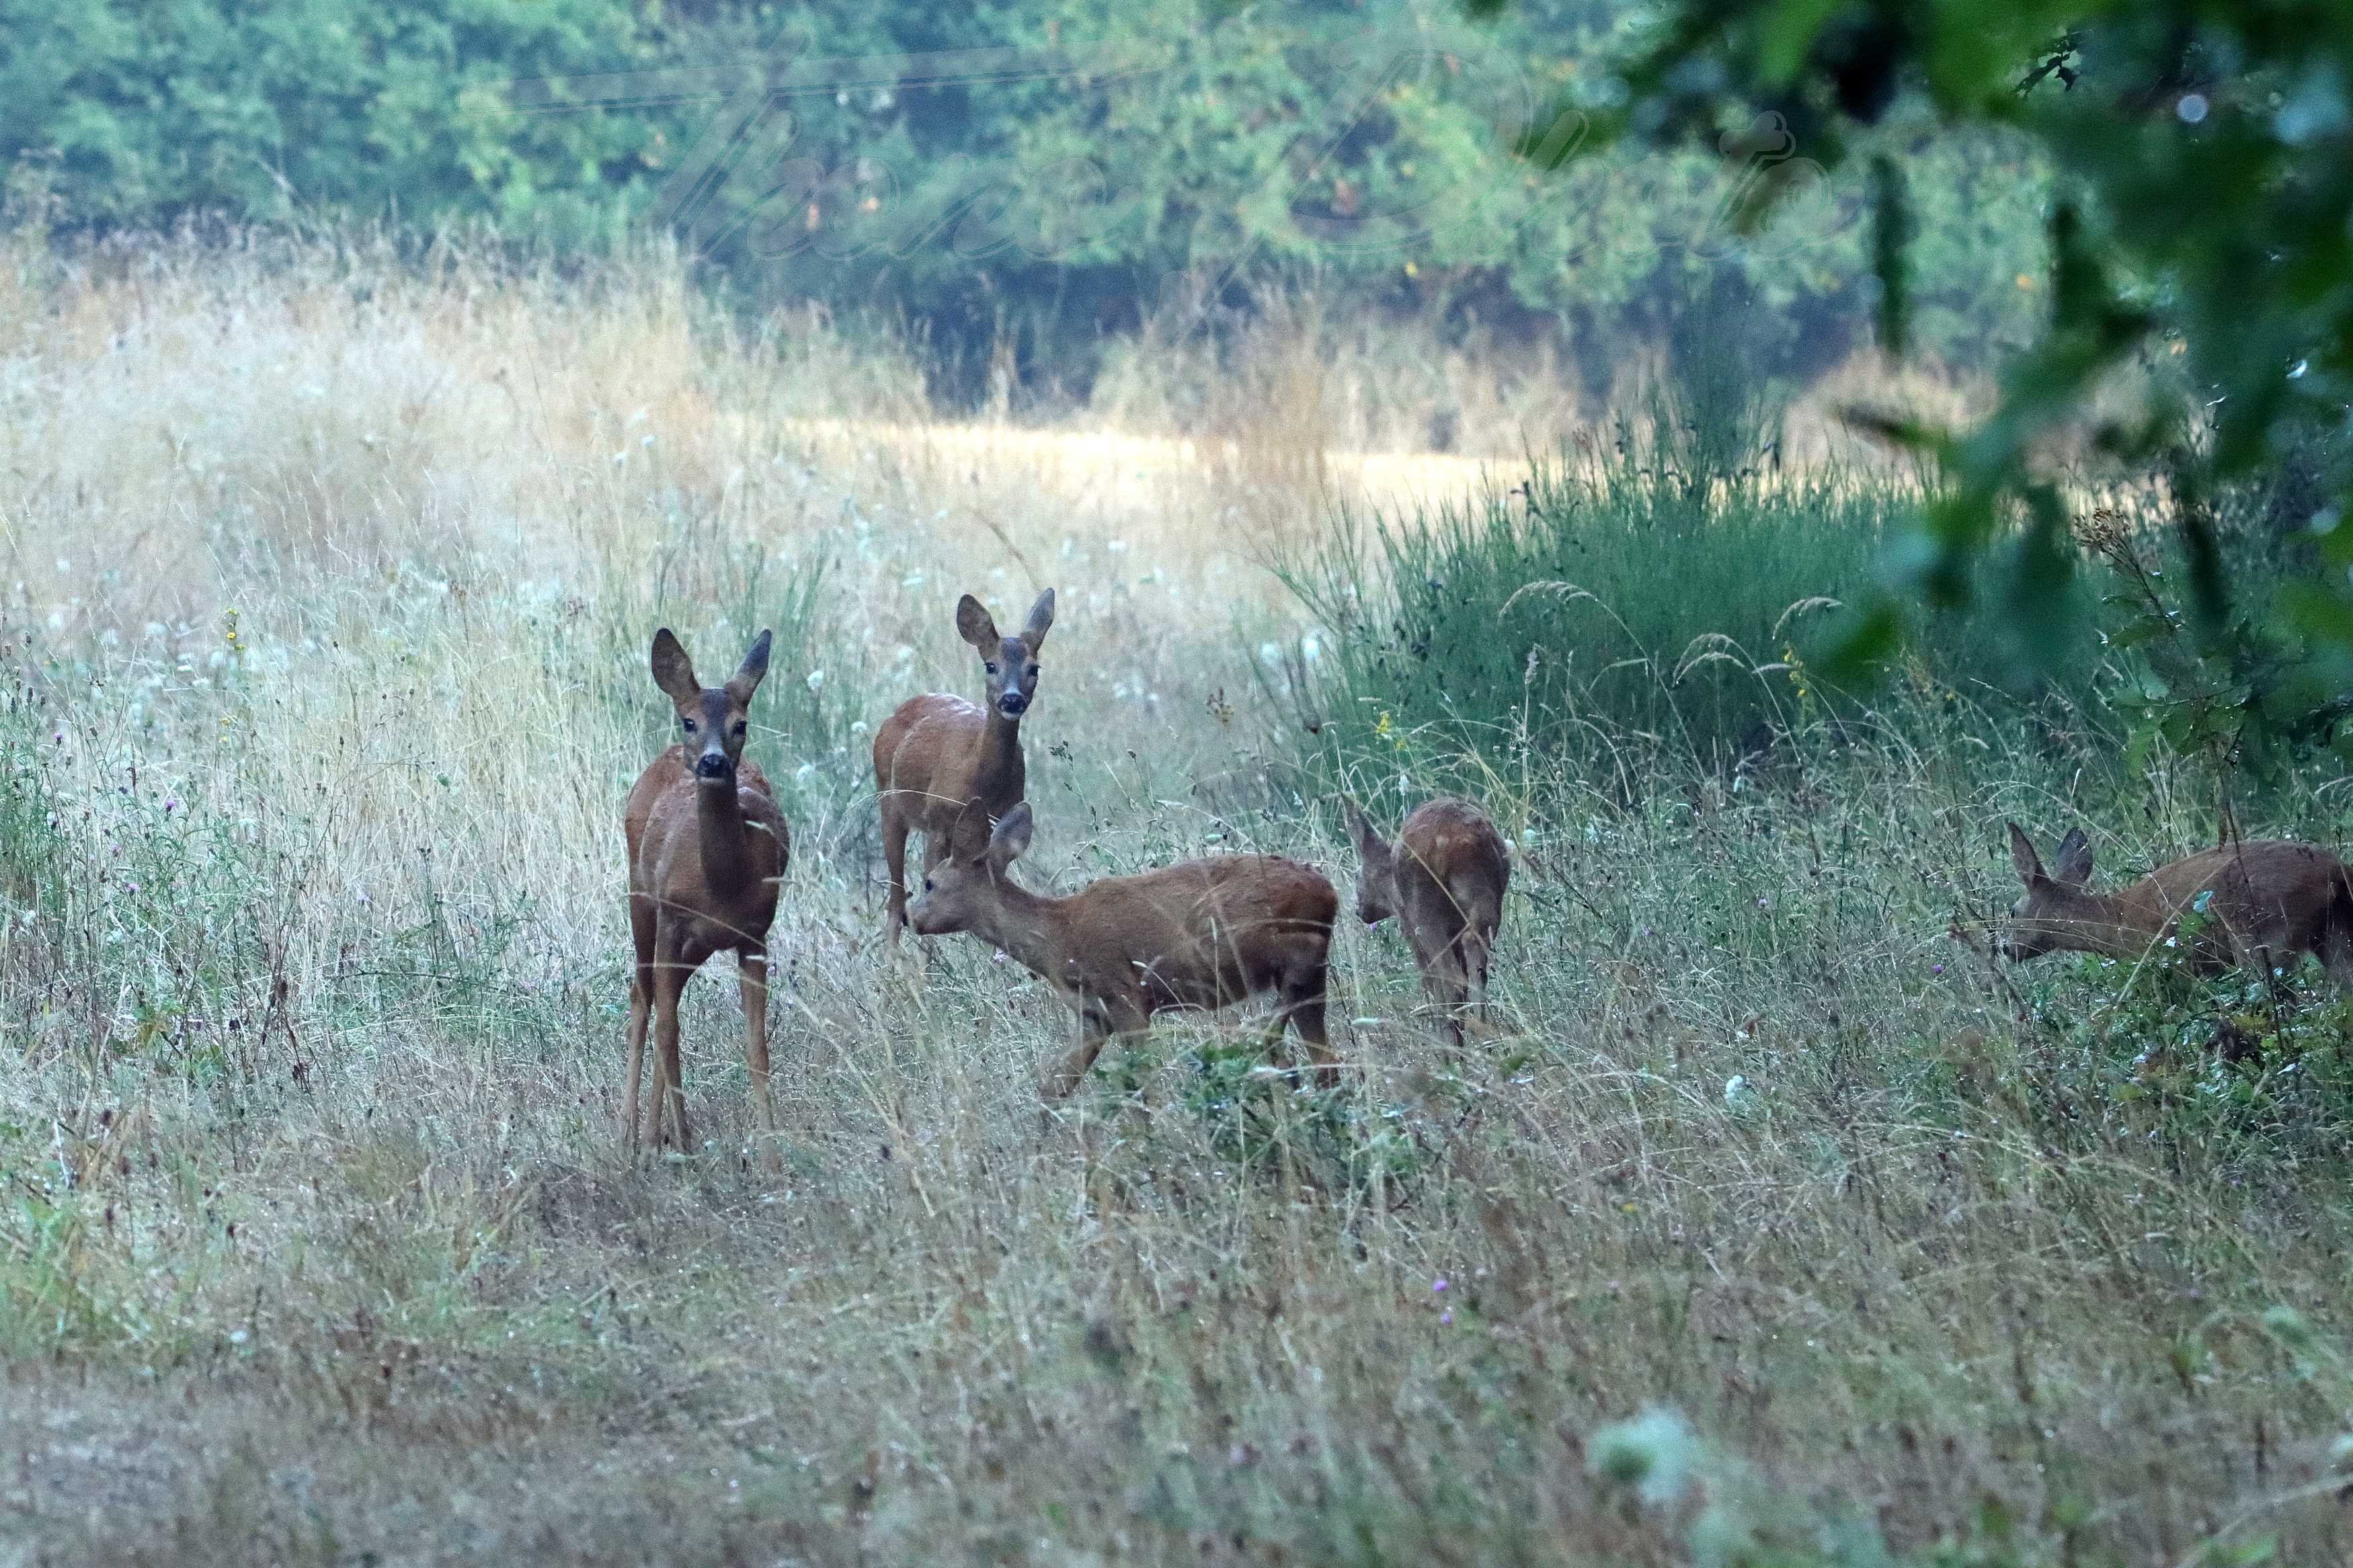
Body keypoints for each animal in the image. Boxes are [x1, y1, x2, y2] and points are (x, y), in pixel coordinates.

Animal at [621, 630, 795, 1165]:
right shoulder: (671, 918)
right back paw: (629, 1133)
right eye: (690, 720)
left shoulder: (755, 933)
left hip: (694, 944)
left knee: (664, 998)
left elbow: (757, 1049)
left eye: (742, 724)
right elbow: (668, 1030)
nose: (713, 761)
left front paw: (772, 1161)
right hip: (641, 901)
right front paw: (664, 1141)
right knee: (644, 998)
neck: (721, 883)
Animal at [880, 592, 1064, 945]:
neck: (978, 777)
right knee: (895, 900)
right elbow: (928, 883)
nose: (1012, 700)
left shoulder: (999, 819)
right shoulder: (937, 822)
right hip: (888, 802)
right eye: (991, 665)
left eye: (1034, 668)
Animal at [904, 804, 1346, 1100]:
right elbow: (1055, 1085)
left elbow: (1144, 1083)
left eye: (928, 883)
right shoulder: (1093, 1014)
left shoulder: (1125, 994)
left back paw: (1267, 1051)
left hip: (1243, 940)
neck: (1058, 935)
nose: (911, 918)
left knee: (1288, 1002)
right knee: (1327, 1058)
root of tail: (1328, 893)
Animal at [1355, 804, 1515, 1048]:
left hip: (1425, 912)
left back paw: (1455, 1046)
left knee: (1453, 980)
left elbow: (1431, 985)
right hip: (1486, 898)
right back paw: (1485, 1037)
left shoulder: (1411, 931)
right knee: (1476, 961)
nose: (1359, 910)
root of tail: (1462, 841)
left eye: (1357, 876)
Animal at [2005, 823, 2353, 992]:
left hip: (2264, 937)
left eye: (2012, 911)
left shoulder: (2166, 966)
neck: (2115, 920)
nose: (2005, 948)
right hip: (2336, 931)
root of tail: (2337, 871)